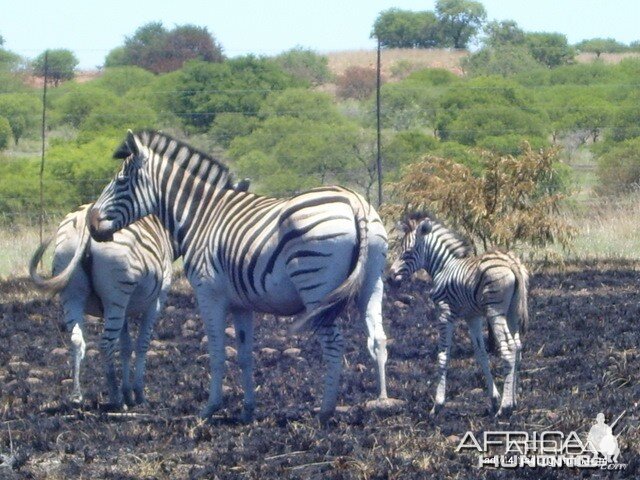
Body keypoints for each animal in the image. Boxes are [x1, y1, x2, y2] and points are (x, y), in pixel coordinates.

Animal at [29, 203, 179, 408]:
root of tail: (86, 217)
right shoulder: (156, 301)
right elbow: (142, 344)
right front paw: (138, 395)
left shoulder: (125, 309)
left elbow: (126, 347)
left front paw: (128, 393)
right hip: (116, 296)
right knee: (106, 343)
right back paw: (116, 399)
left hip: (73, 294)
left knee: (76, 340)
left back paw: (77, 396)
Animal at [88, 131, 392, 424]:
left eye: (121, 181)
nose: (92, 224)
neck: (200, 216)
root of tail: (354, 201)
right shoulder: (241, 304)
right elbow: (245, 356)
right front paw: (247, 410)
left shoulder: (208, 293)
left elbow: (217, 353)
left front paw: (210, 408)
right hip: (372, 281)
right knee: (378, 337)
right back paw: (382, 401)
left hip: (315, 285)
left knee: (334, 344)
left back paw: (325, 411)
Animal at [384, 212, 528, 418]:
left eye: (408, 251)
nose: (390, 278)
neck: (443, 267)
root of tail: (511, 262)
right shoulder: (472, 317)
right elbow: (481, 354)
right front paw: (493, 399)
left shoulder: (445, 314)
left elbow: (443, 356)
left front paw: (437, 405)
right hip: (512, 312)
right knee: (517, 347)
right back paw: (513, 402)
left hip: (495, 312)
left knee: (508, 349)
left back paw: (505, 408)